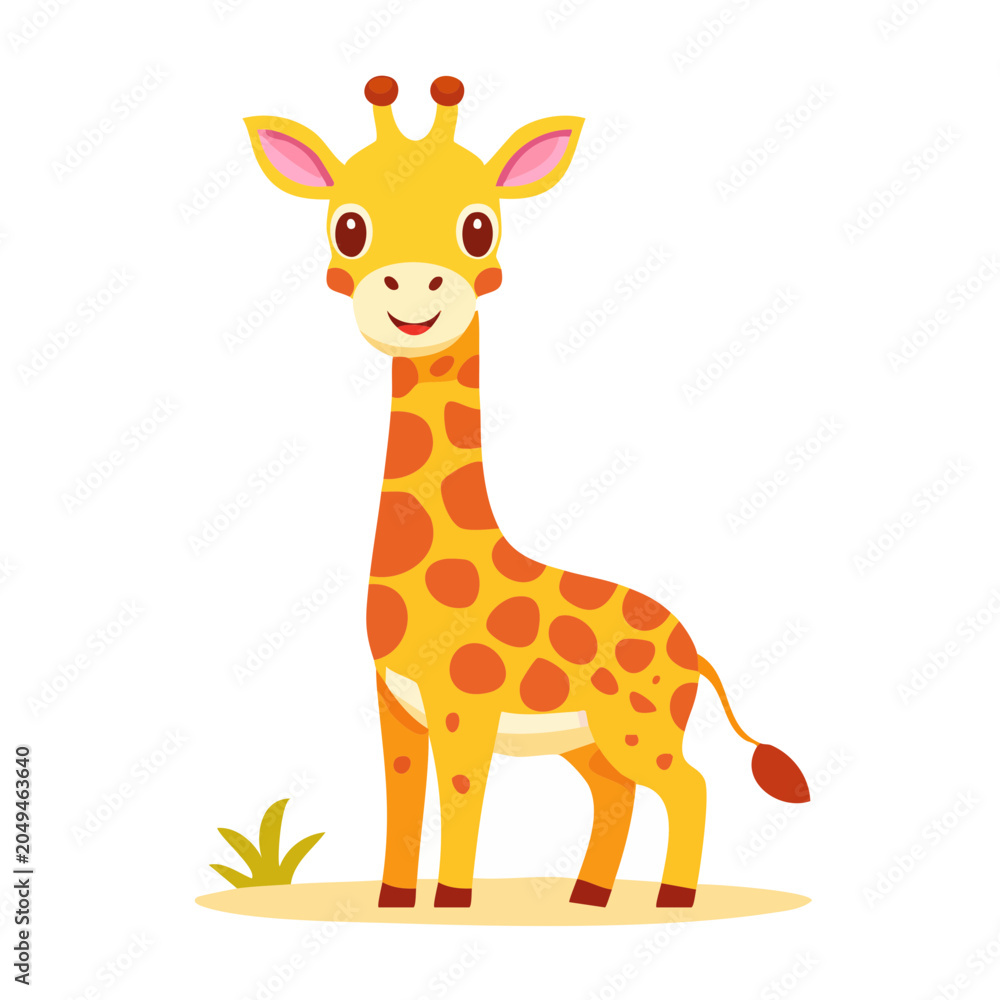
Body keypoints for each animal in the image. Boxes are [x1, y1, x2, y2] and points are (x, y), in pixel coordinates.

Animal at [245, 76, 809, 911]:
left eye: (478, 227)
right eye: (349, 226)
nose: (412, 290)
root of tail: (694, 651)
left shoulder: (464, 709)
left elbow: (462, 798)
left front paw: (451, 903)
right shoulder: (395, 703)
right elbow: (403, 798)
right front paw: (393, 900)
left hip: (638, 729)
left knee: (690, 786)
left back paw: (670, 897)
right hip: (591, 740)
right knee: (617, 793)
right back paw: (588, 896)